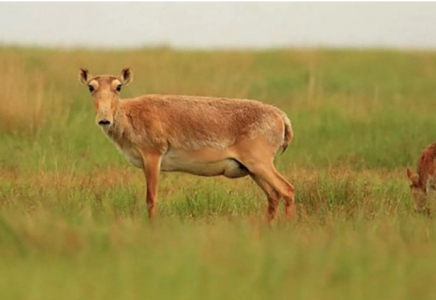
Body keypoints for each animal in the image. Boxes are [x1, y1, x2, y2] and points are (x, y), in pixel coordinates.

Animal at [79, 68, 296, 223]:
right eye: (91, 87)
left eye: (118, 87)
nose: (104, 119)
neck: (129, 114)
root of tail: (281, 117)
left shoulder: (152, 157)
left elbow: (151, 198)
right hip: (252, 170)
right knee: (273, 196)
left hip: (260, 164)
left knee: (287, 190)